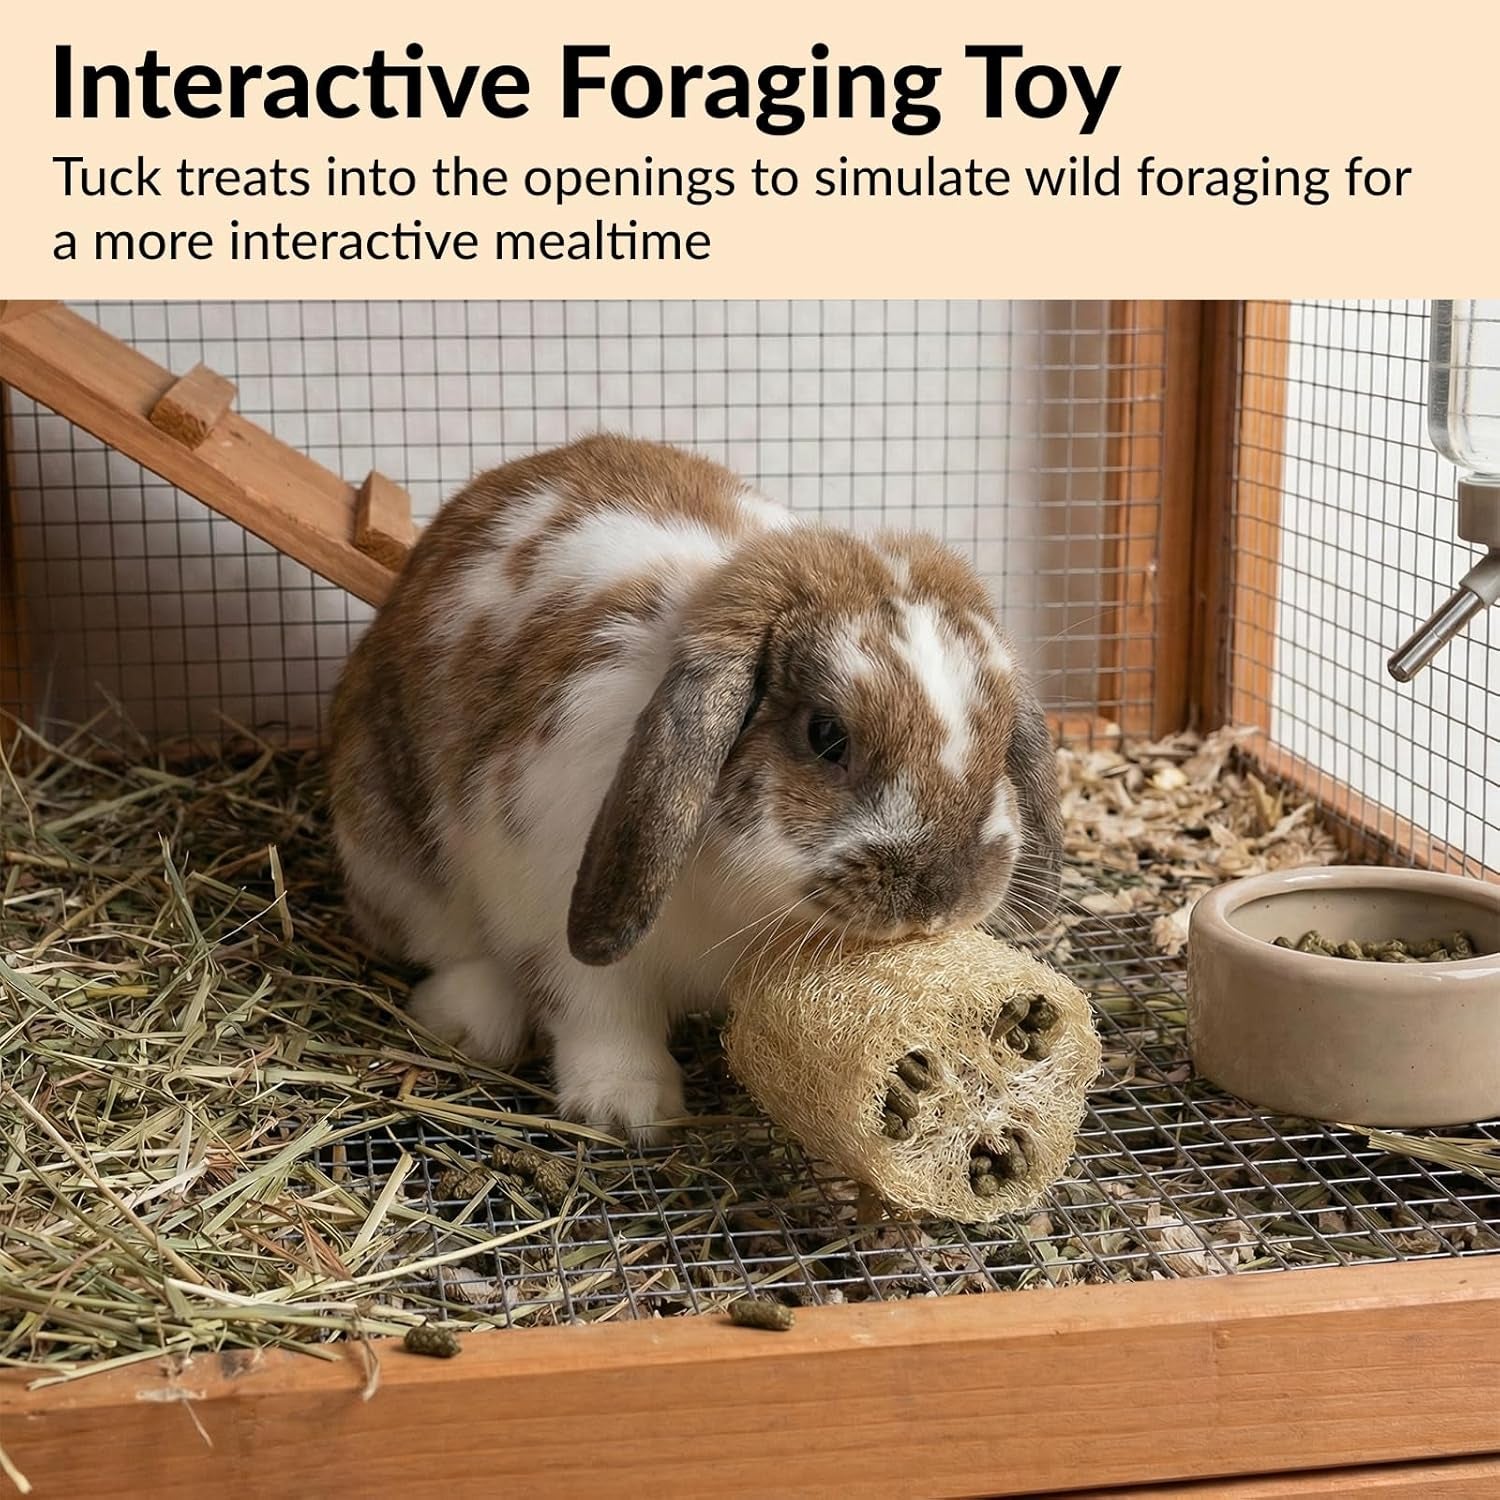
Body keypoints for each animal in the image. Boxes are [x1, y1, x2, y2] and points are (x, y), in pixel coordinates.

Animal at [329, 434, 1062, 1142]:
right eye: (826, 735)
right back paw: (469, 1021)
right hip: (390, 854)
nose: (941, 897)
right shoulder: (555, 907)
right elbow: (600, 1011)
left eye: (1001, 740)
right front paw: (628, 1109)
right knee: (447, 944)